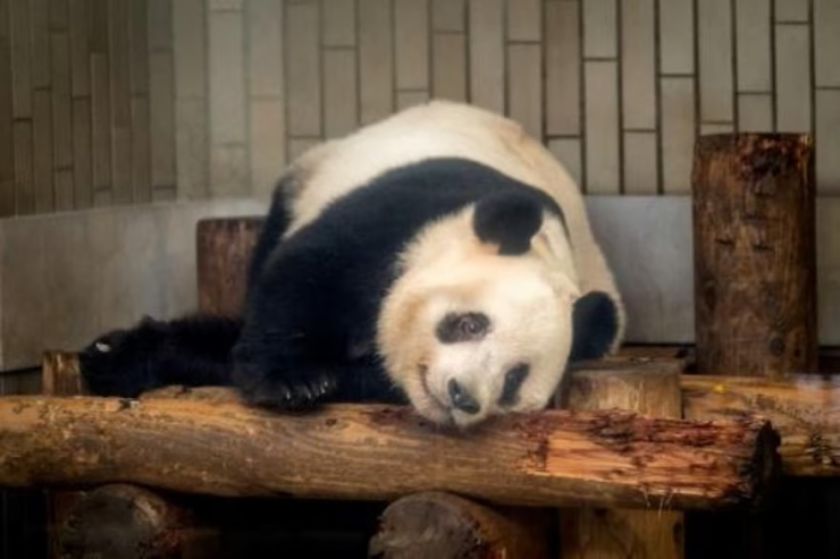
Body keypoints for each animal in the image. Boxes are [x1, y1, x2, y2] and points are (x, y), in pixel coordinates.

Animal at [79, 101, 625, 429]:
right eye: (469, 323)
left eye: (513, 379)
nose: (462, 396)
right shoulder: (403, 217)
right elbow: (301, 279)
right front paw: (290, 380)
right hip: (311, 174)